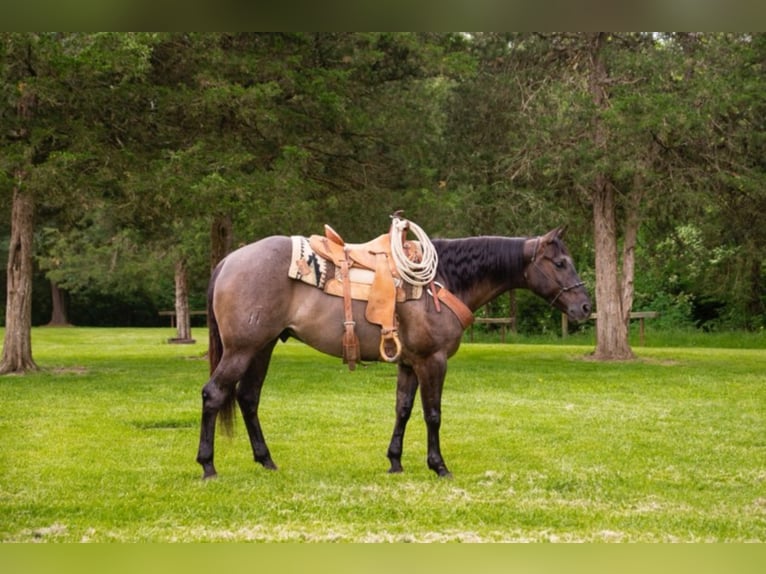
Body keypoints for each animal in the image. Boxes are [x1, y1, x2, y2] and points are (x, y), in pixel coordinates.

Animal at [195, 227, 592, 480]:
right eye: (560, 263)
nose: (586, 307)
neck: (441, 281)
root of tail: (229, 261)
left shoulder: (409, 363)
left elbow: (403, 409)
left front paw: (395, 462)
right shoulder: (433, 361)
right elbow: (433, 414)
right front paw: (439, 465)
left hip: (261, 349)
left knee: (248, 398)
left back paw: (266, 461)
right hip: (242, 349)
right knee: (214, 394)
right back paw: (208, 466)